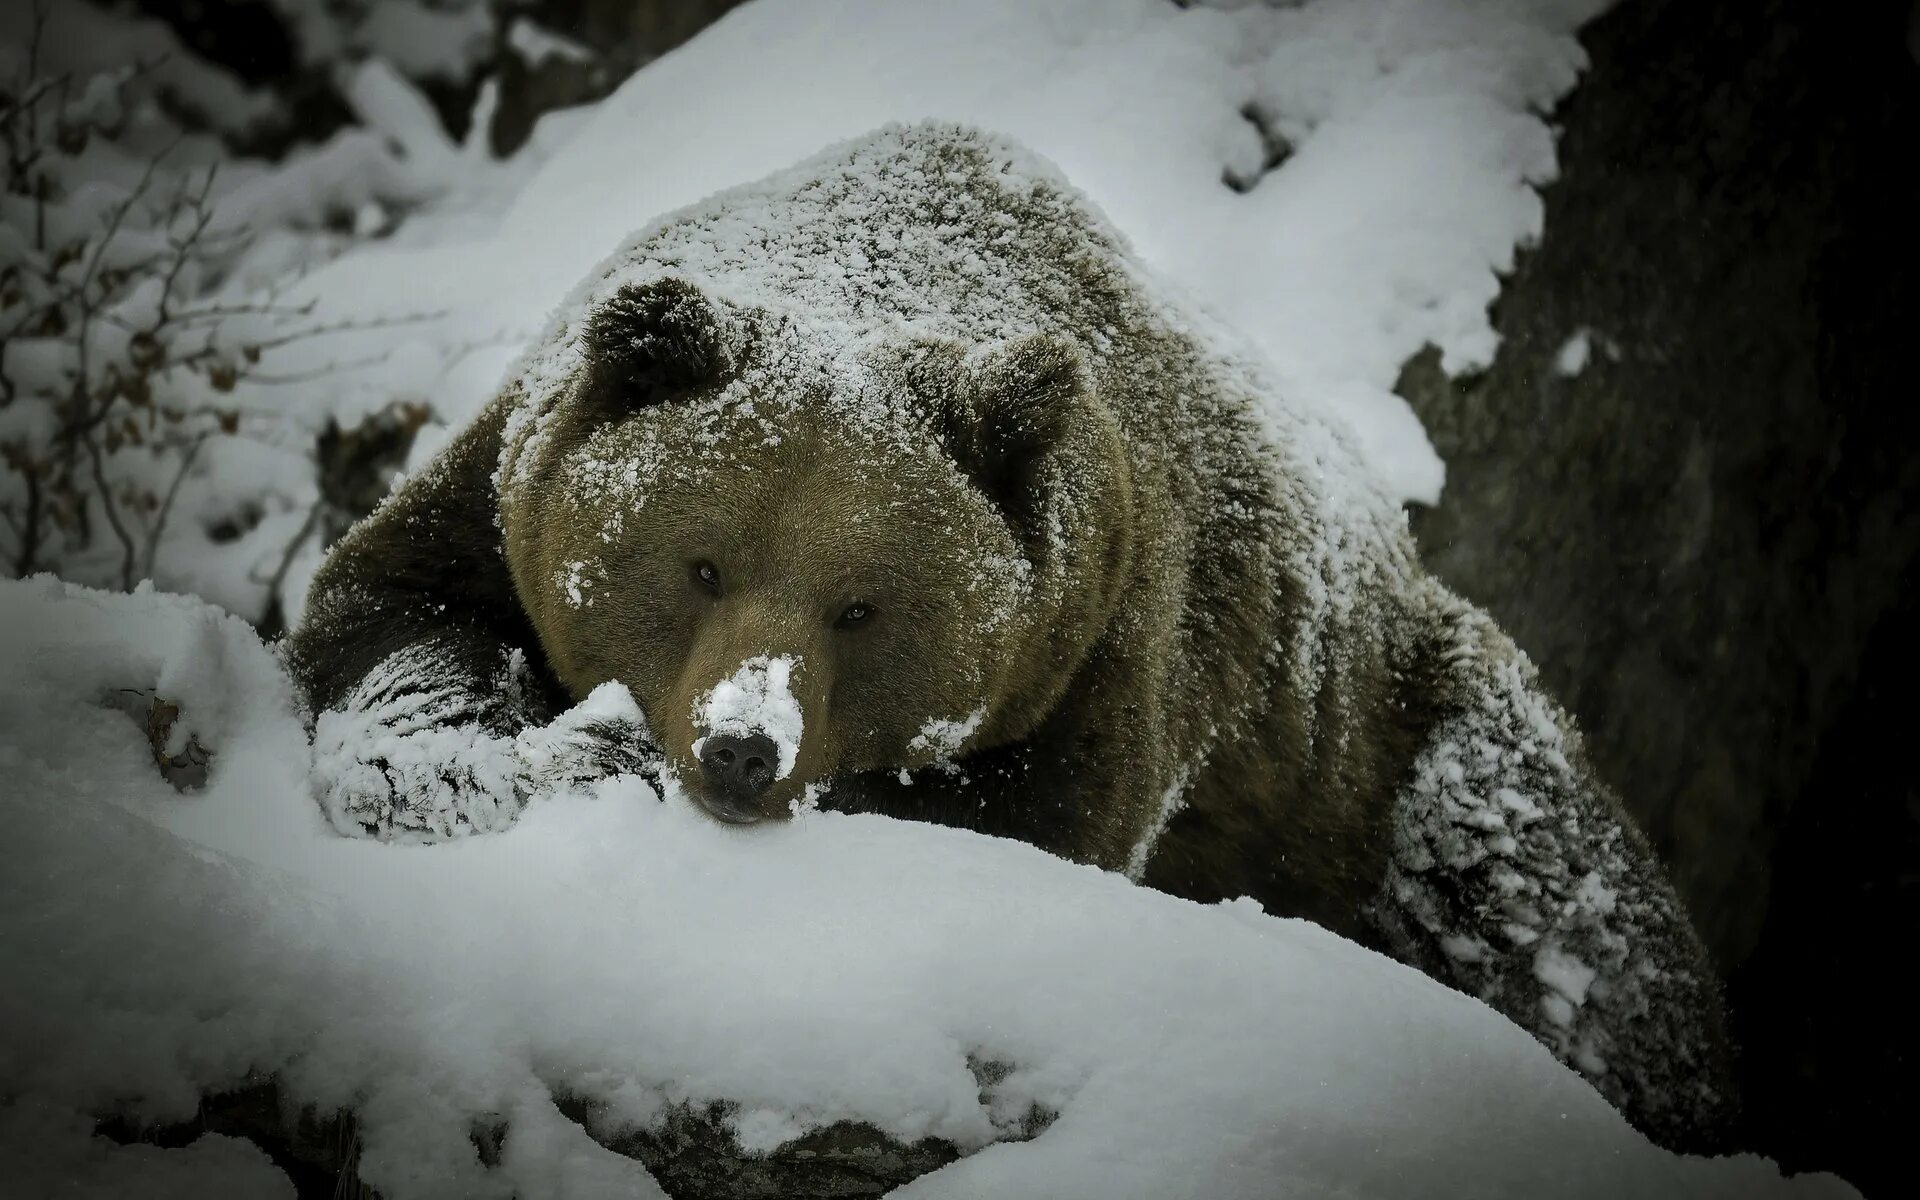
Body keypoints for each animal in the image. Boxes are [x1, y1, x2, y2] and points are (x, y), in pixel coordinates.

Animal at [288, 121, 1743, 1152]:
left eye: (861, 605)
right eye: (701, 563)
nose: (744, 749)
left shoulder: (1108, 652)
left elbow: (1019, 829)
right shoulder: (496, 493)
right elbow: (393, 620)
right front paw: (489, 760)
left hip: (1392, 751)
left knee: (1560, 916)